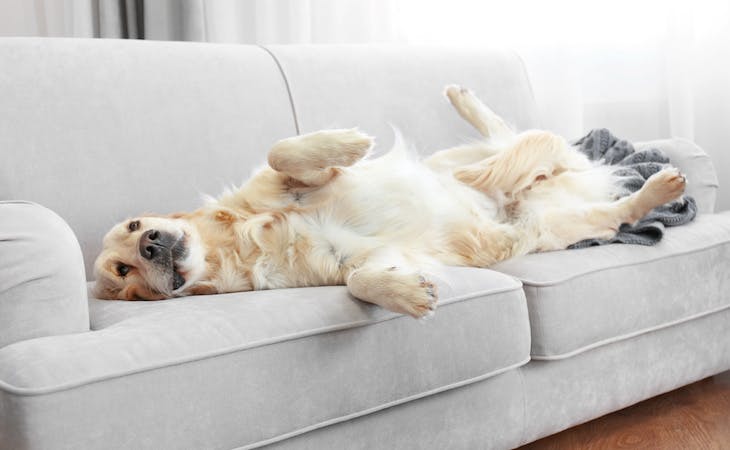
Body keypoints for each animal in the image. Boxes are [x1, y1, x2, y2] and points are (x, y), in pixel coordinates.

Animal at [92, 86, 684, 318]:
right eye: (123, 274)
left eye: (134, 225)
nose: (151, 245)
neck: (244, 242)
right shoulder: (347, 262)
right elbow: (359, 279)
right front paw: (406, 293)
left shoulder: (277, 184)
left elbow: (283, 151)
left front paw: (347, 144)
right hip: (552, 227)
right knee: (611, 210)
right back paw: (658, 188)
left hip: (470, 158)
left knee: (510, 138)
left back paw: (470, 117)